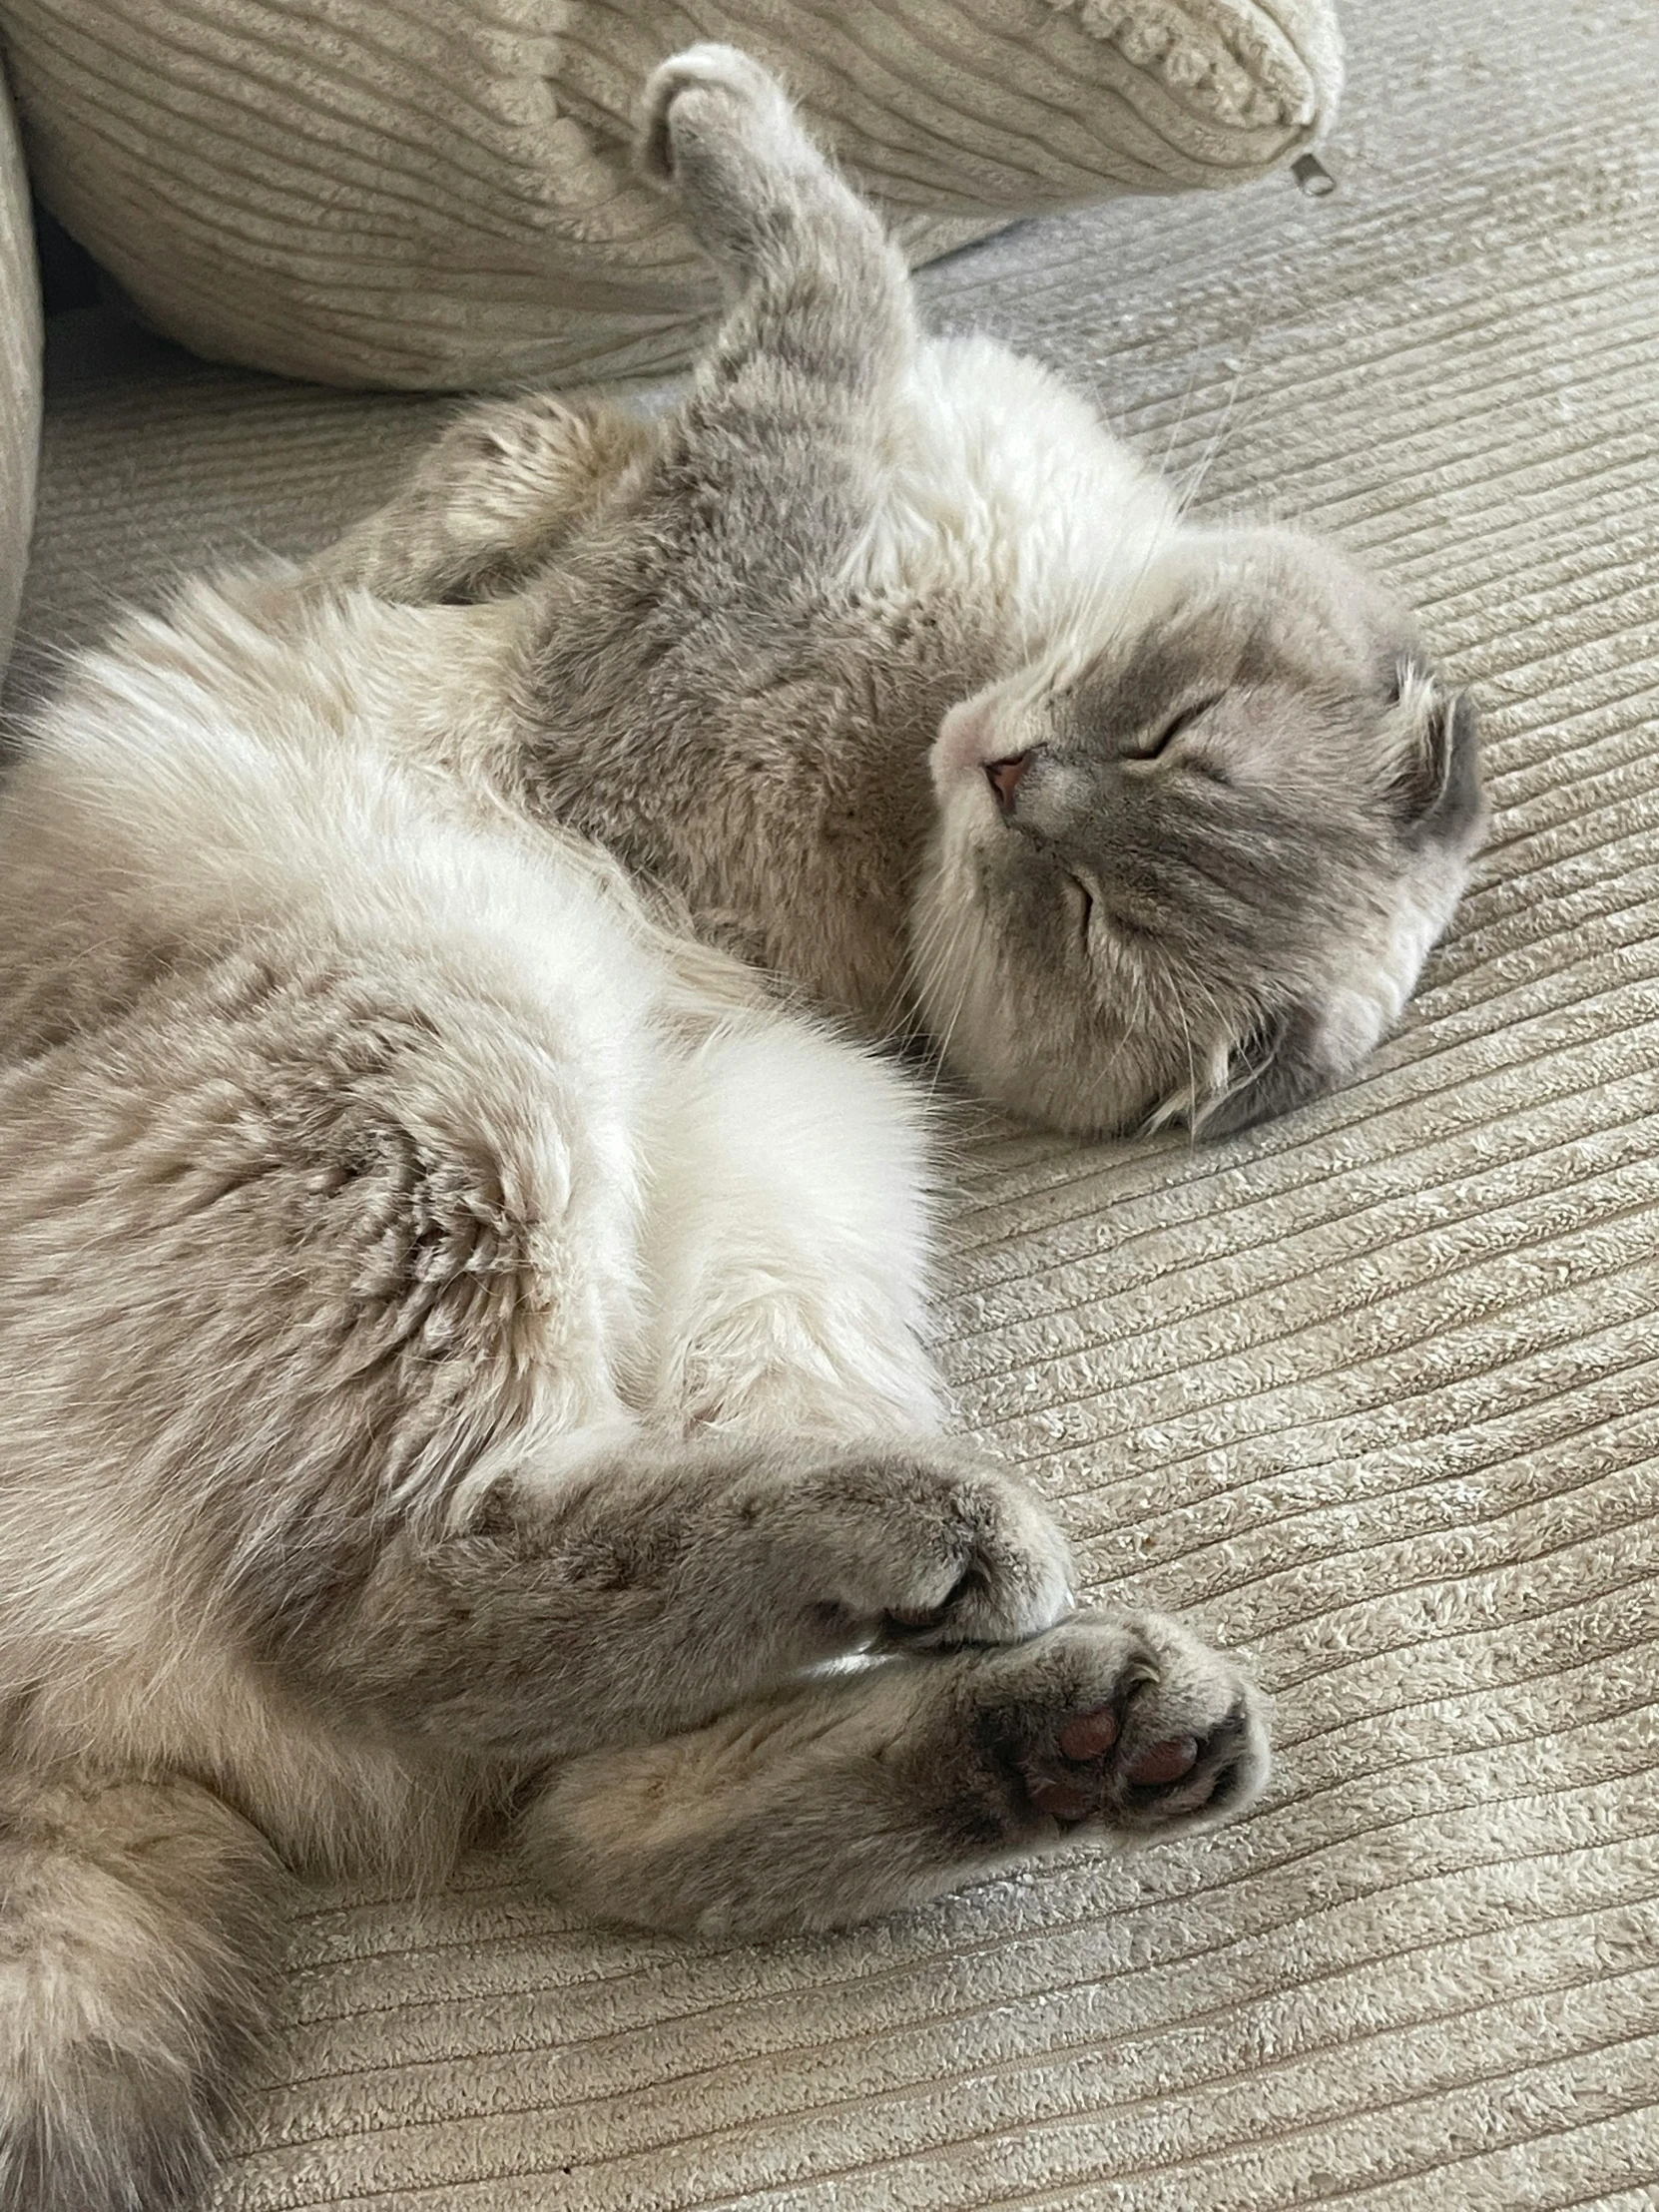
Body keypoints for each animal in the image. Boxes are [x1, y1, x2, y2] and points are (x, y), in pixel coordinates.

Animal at [302, 52, 1495, 1141]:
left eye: (1091, 918)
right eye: (1171, 734)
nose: (1011, 774)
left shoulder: (707, 544)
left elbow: (837, 276)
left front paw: (706, 100)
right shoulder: (614, 485)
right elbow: (497, 466)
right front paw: (382, 558)